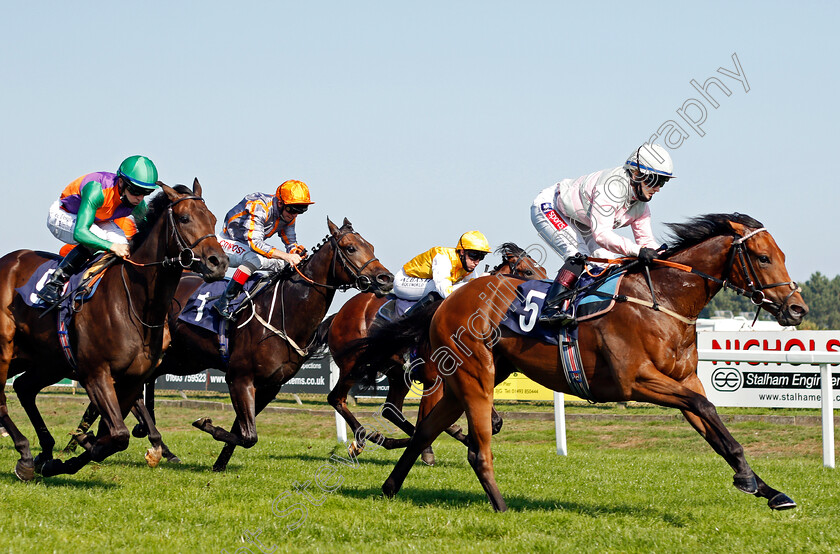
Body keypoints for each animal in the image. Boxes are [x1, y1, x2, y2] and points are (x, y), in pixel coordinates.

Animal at [360, 215, 808, 508]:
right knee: (475, 448)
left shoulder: (683, 381)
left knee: (425, 431)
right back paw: (503, 507)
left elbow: (715, 428)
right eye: (763, 258)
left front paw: (768, 489)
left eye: (782, 254)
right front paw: (747, 479)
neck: (662, 299)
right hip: (475, 376)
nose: (797, 309)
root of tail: (447, 301)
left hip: (465, 380)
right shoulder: (636, 380)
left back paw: (389, 488)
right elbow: (706, 407)